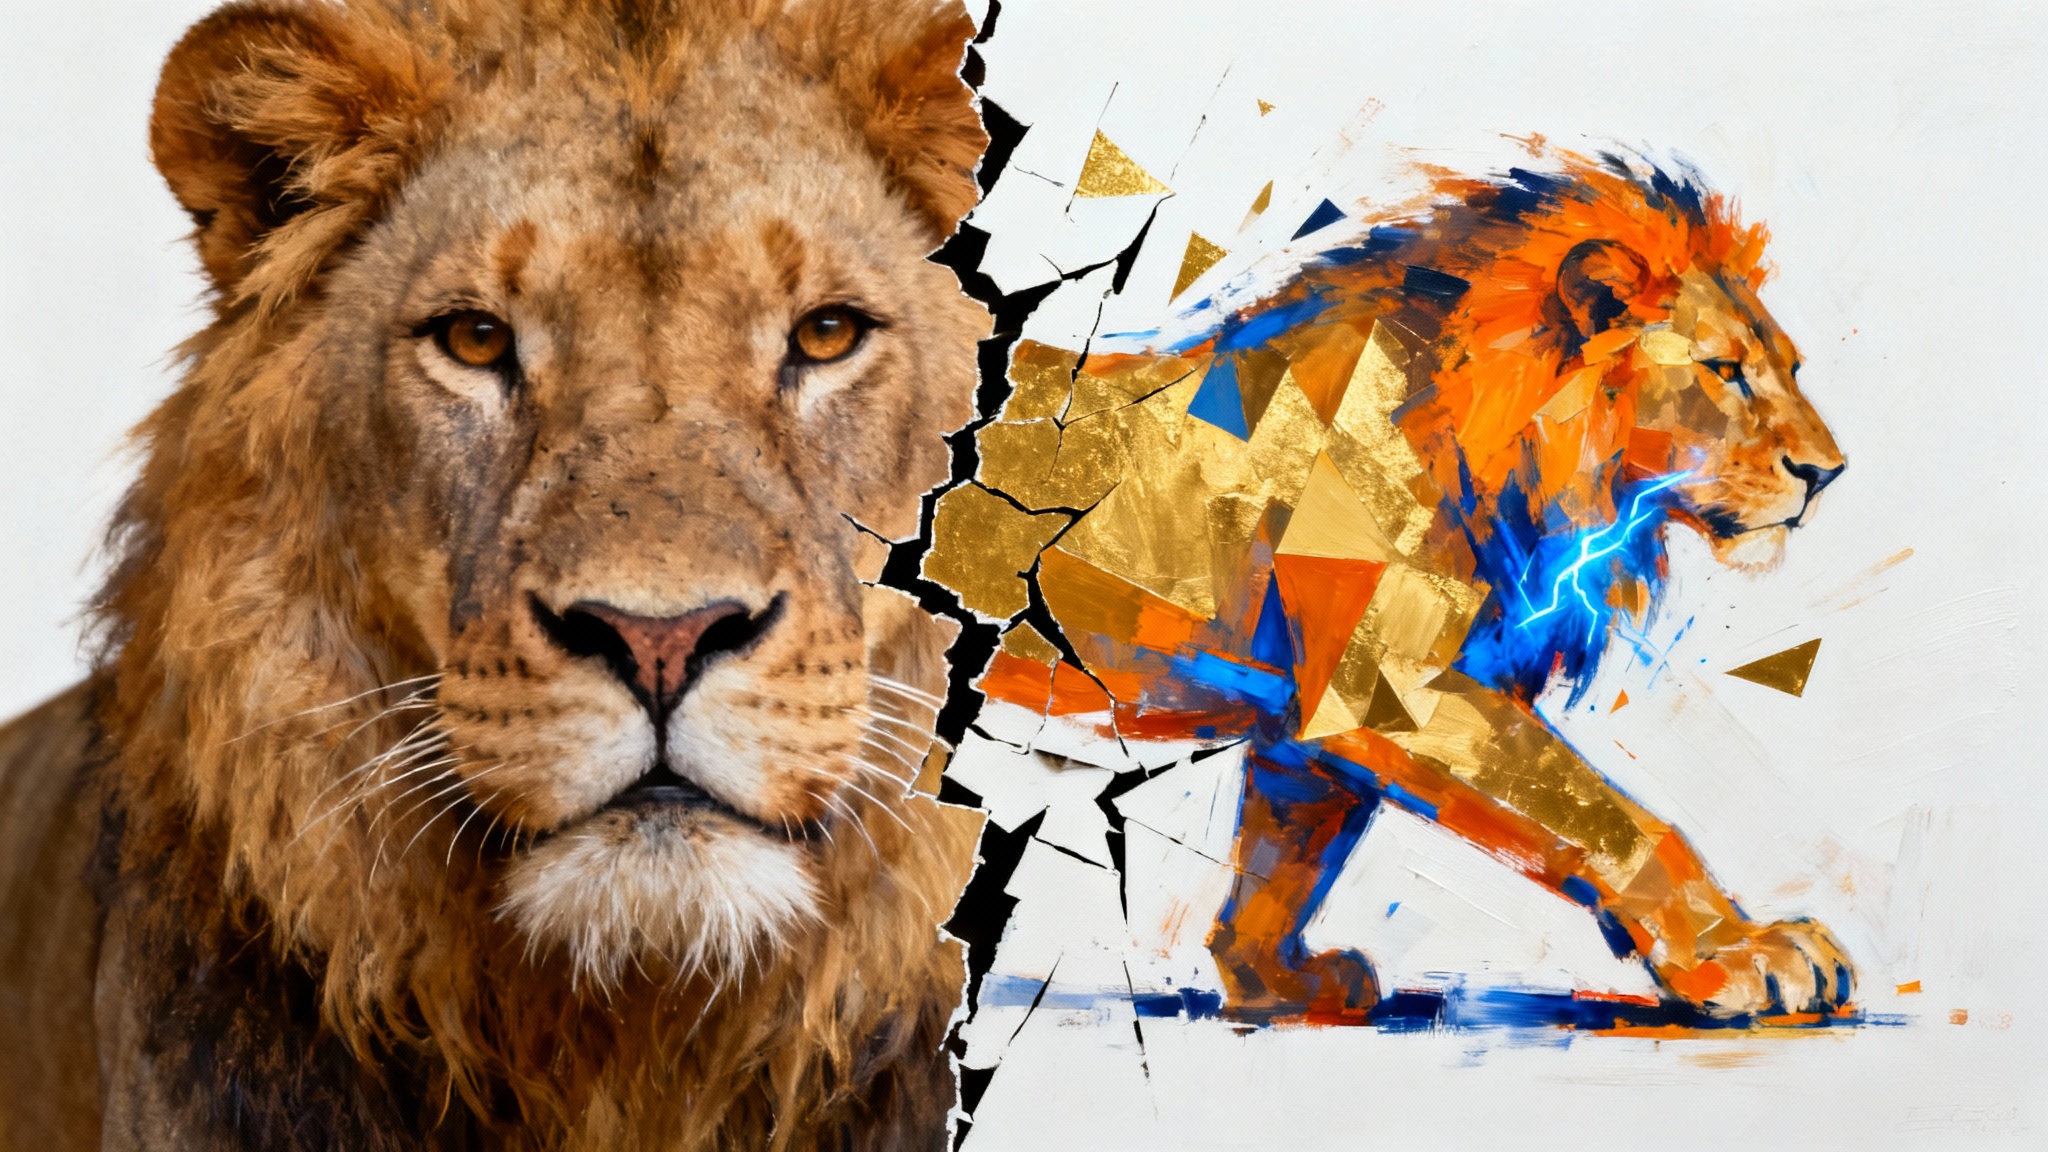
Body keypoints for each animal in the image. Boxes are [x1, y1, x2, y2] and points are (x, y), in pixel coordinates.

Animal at [947, 153, 1855, 1025]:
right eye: (1724, 369)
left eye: (1793, 368)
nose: (1828, 472)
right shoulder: (1392, 693)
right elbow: (1611, 820)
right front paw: (1740, 953)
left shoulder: (1309, 722)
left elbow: (1283, 862)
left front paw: (1275, 979)